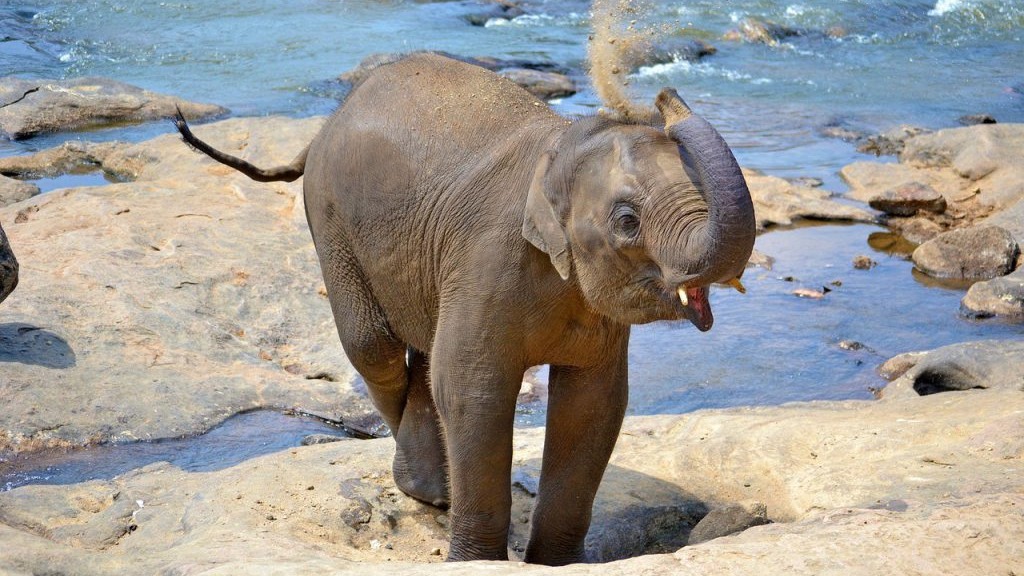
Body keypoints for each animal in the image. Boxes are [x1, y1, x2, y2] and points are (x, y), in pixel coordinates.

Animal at [175, 52, 755, 564]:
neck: (562, 146)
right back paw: (428, 490)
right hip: (331, 222)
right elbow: (473, 389)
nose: (664, 96)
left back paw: (433, 490)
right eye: (628, 220)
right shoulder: (488, 258)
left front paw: (560, 564)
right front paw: (475, 560)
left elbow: (593, 402)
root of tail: (324, 125)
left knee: (422, 350)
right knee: (374, 348)